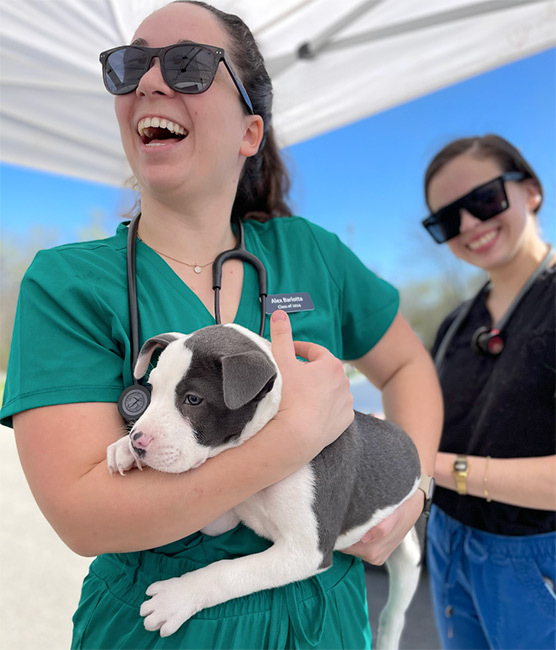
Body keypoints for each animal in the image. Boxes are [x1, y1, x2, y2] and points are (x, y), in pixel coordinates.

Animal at [107, 322, 422, 644]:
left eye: (193, 399)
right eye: (152, 389)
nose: (138, 441)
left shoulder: (305, 551)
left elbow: (228, 571)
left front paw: (178, 597)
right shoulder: (221, 515)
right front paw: (122, 449)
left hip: (408, 556)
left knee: (395, 612)